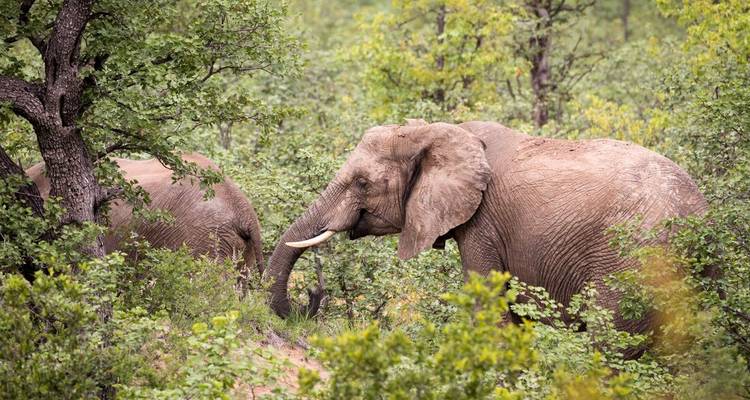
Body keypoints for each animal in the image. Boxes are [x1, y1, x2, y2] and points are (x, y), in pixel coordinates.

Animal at [266, 120, 708, 340]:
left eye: (361, 183)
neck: (438, 130)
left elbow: (489, 304)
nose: (312, 296)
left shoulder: (484, 223)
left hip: (632, 263)